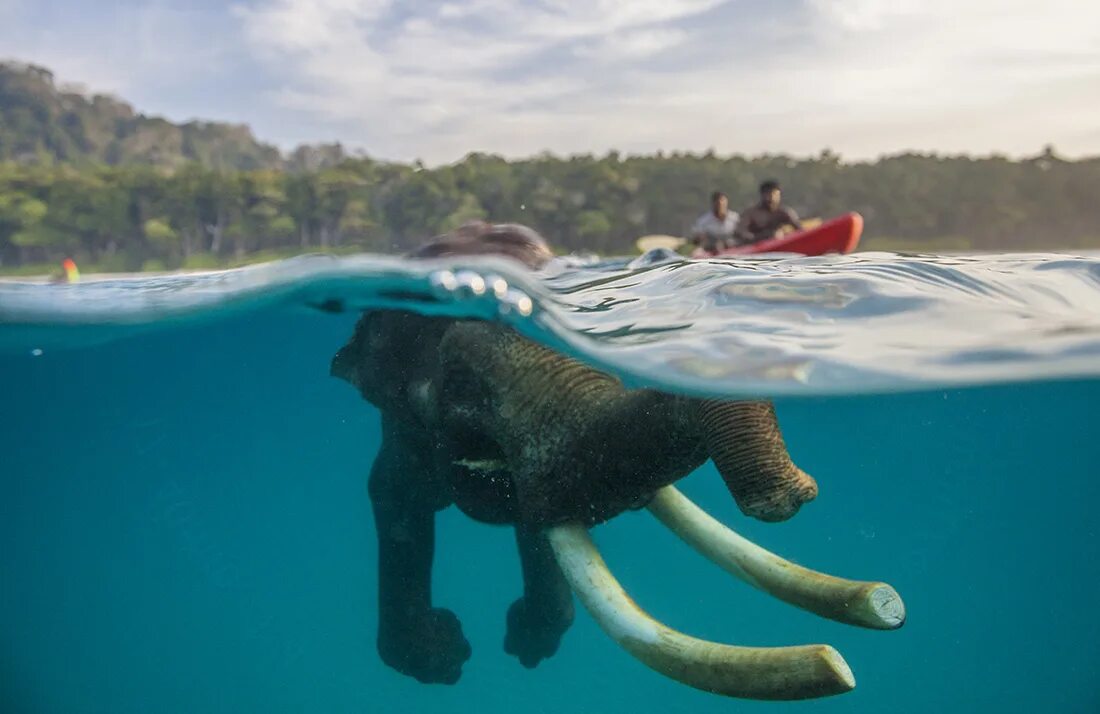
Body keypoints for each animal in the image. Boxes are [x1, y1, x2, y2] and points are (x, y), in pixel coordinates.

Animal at [332, 220, 902, 699]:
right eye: (457, 388)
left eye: (589, 322)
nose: (796, 493)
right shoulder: (403, 443)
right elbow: (395, 501)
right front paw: (440, 656)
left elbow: (534, 516)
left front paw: (531, 640)